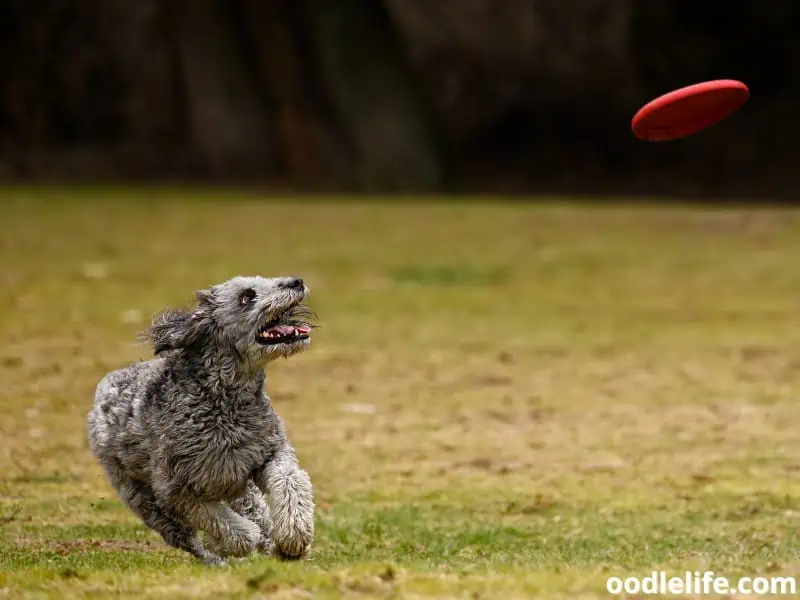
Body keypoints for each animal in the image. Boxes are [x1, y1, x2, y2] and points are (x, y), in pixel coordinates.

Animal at [85, 274, 316, 564]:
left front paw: (293, 537)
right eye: (247, 296)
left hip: (238, 488)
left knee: (257, 512)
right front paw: (238, 541)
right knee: (189, 539)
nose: (296, 282)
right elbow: (223, 524)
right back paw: (218, 558)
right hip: (144, 500)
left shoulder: (268, 453)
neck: (226, 401)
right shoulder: (176, 491)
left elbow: (290, 482)